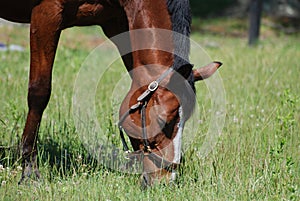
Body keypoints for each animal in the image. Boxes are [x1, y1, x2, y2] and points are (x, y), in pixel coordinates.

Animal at [0, 0, 220, 188]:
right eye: (164, 121)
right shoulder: (46, 15)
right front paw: (29, 171)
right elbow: (39, 92)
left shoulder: (117, 22)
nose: (166, 180)